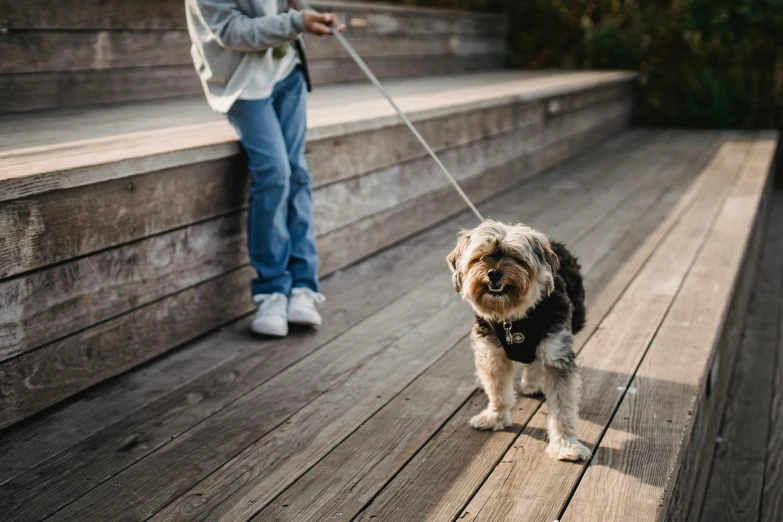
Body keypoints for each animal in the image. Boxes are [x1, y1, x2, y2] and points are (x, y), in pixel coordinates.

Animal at [444, 219, 592, 460]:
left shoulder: (557, 354)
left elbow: (563, 408)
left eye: (516, 258)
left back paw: (532, 383)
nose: (494, 273)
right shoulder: (491, 353)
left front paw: (566, 445)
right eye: (480, 257)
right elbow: (497, 391)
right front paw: (494, 418)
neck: (513, 319)